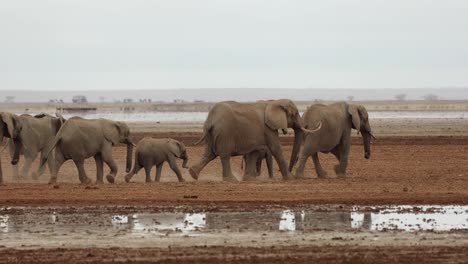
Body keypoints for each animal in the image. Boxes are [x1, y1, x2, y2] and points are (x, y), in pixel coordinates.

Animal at [188, 99, 320, 182]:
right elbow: (276, 148)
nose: (292, 174)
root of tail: (211, 119)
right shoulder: (267, 127)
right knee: (224, 155)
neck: (274, 102)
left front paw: (249, 179)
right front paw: (290, 178)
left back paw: (193, 174)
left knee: (209, 154)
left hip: (211, 133)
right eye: (295, 113)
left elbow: (253, 152)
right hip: (224, 133)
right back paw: (231, 180)